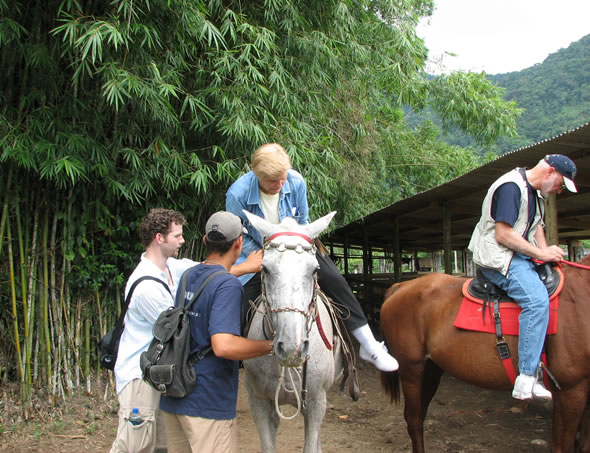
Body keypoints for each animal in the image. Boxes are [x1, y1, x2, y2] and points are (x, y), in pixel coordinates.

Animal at [244, 210, 346, 452]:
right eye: (265, 268)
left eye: (315, 270)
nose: (293, 348)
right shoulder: (259, 402)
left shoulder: (316, 403)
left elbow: (311, 445)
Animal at [382, 254, 590, 452]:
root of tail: (401, 286)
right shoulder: (571, 390)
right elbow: (562, 447)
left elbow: (582, 445)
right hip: (411, 370)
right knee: (413, 419)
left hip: (431, 369)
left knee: (419, 417)